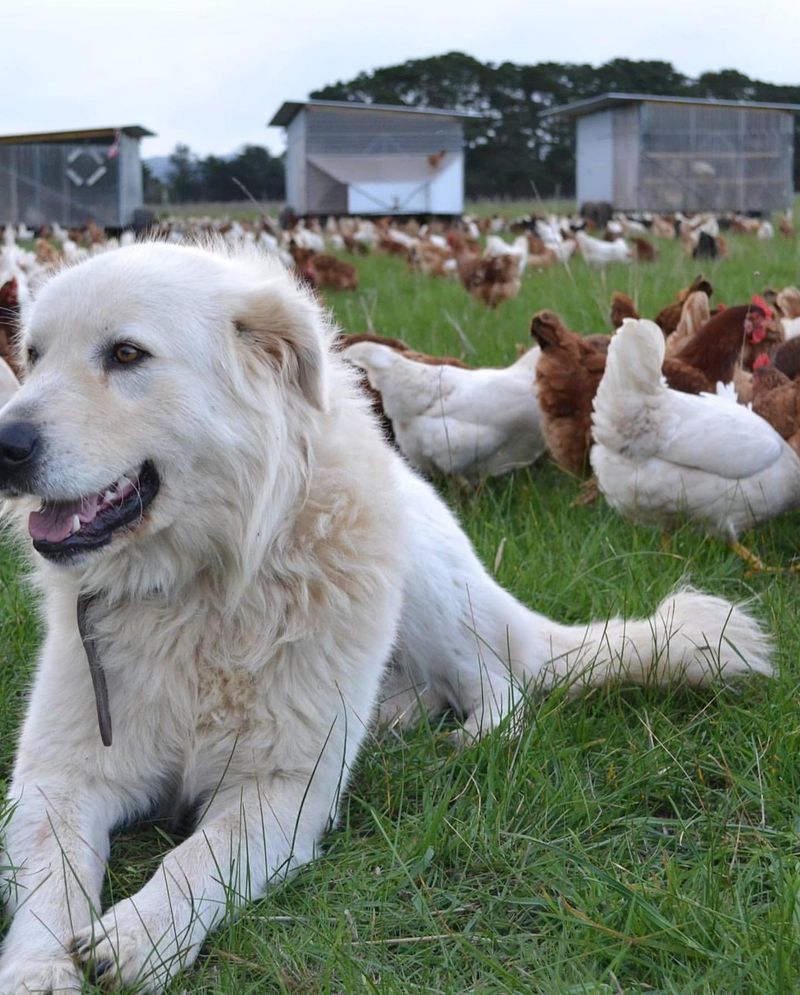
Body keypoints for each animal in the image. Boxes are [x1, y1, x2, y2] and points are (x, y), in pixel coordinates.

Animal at [1, 243, 776, 995]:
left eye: (127, 354)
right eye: (33, 355)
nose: (6, 442)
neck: (201, 587)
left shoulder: (283, 791)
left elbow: (198, 858)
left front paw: (139, 933)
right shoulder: (55, 778)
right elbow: (51, 882)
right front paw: (37, 970)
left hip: (430, 587)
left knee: (504, 684)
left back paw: (470, 735)